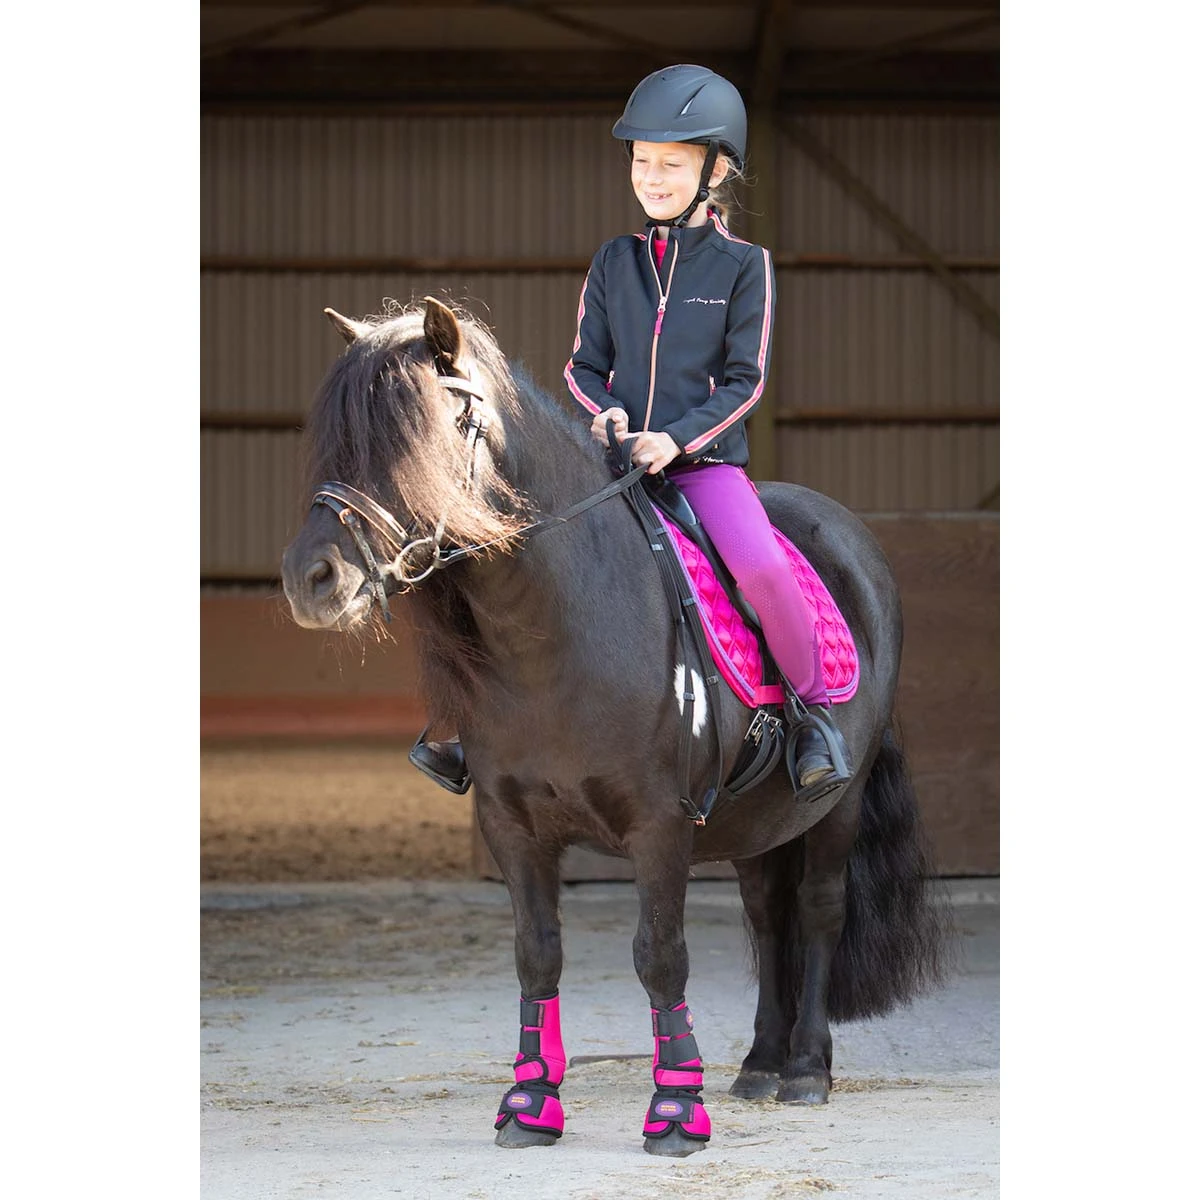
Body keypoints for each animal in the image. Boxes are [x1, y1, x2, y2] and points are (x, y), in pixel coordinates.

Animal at [280, 296, 949, 1158]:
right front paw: (530, 1102)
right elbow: (538, 956)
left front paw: (675, 1112)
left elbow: (660, 957)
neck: (556, 630)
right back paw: (760, 1065)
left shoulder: (658, 824)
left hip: (838, 802)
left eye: (414, 434)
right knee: (768, 917)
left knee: (818, 910)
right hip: (757, 819)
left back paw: (805, 1069)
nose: (311, 579)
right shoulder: (512, 825)